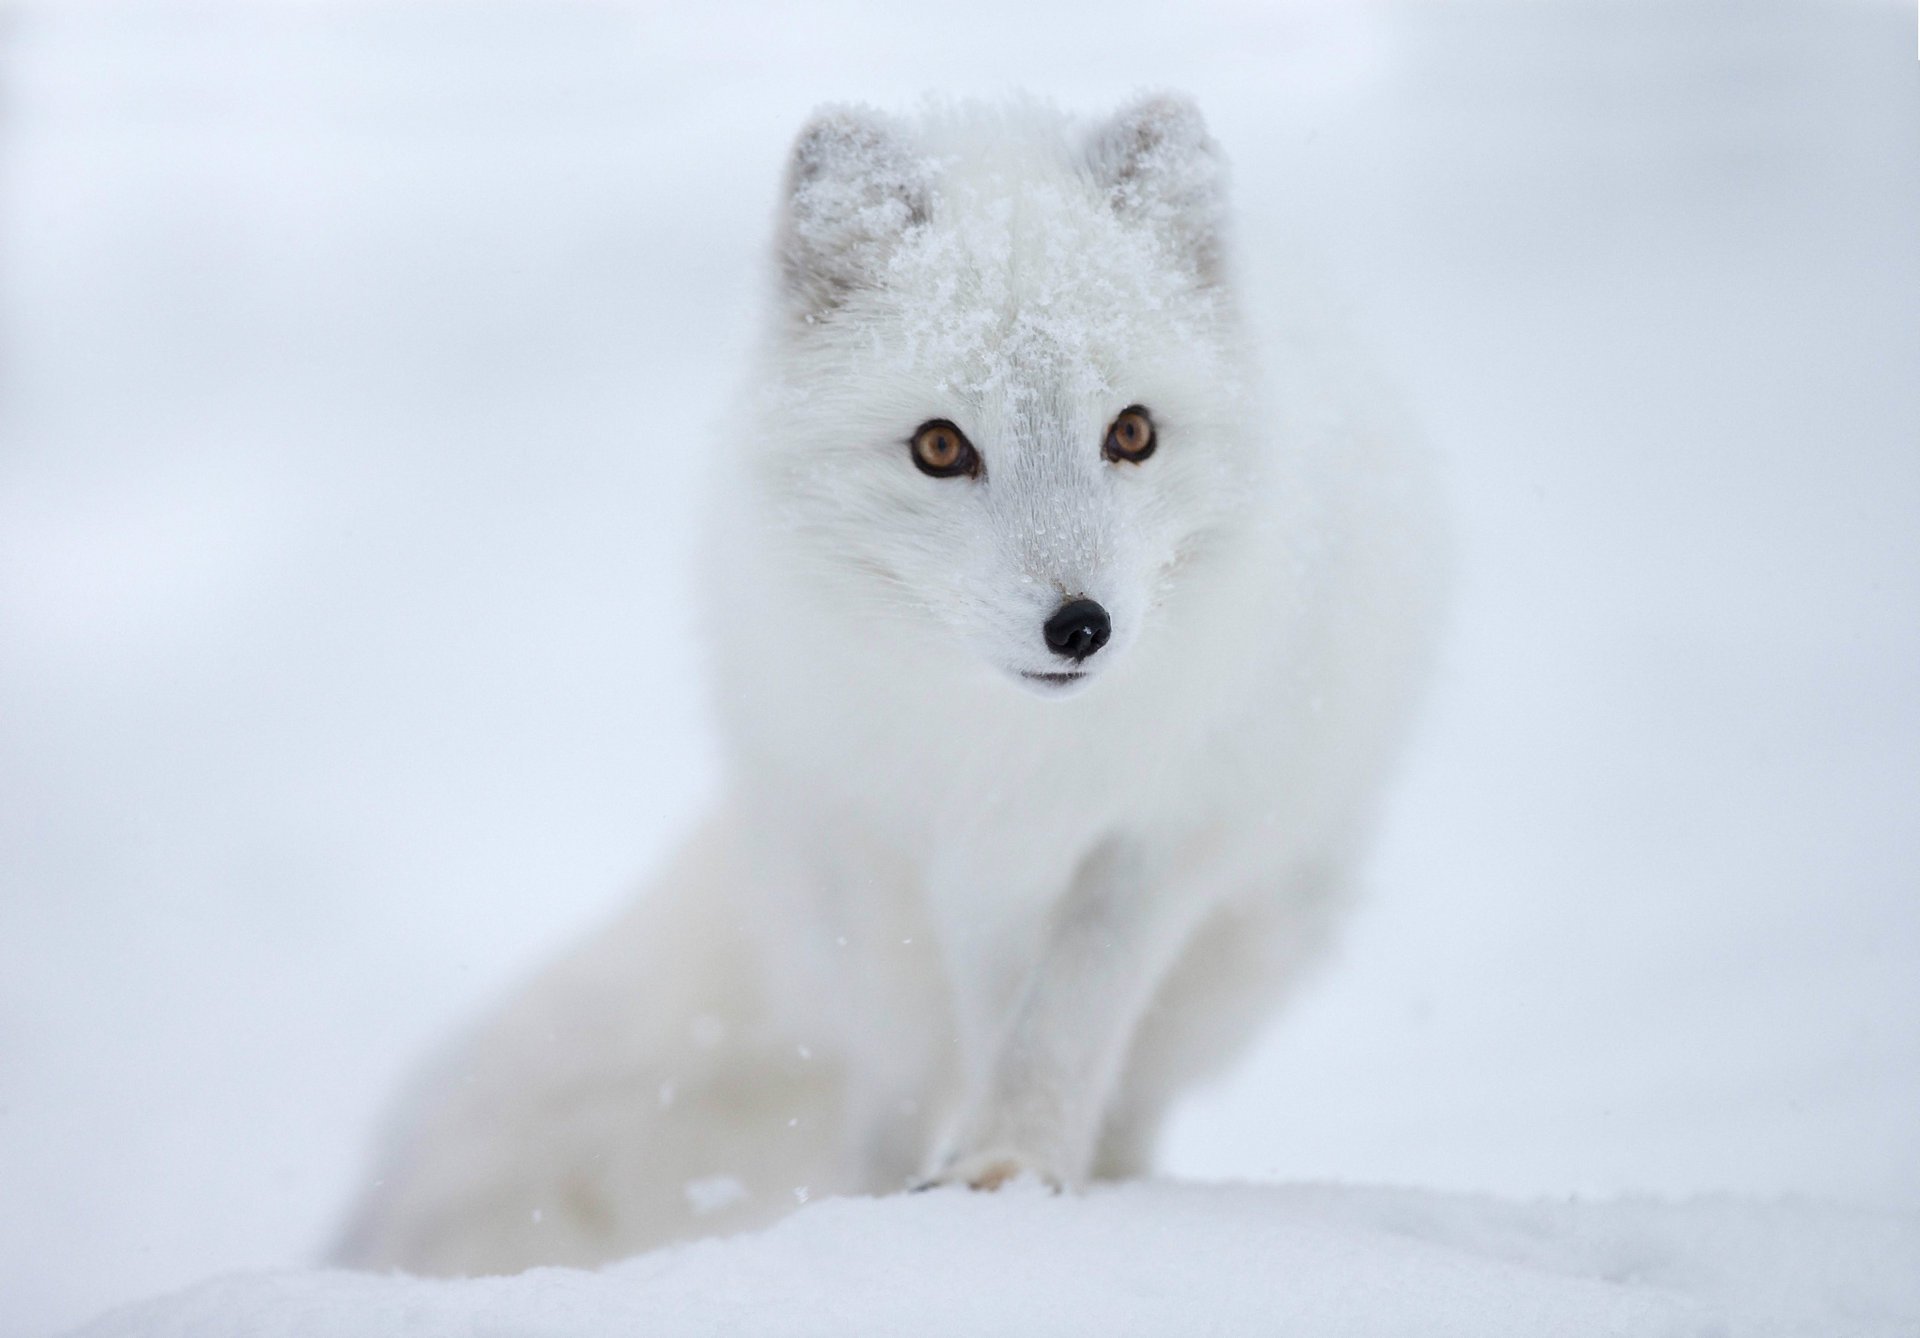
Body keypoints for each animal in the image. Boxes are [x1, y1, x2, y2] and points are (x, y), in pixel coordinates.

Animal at [335, 93, 1440, 1276]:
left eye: (1132, 432)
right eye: (941, 447)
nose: (1081, 627)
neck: (1013, 753)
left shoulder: (1160, 839)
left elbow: (1064, 1018)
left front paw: (1013, 1165)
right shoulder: (917, 854)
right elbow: (961, 1041)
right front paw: (933, 1196)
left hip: (1254, 936)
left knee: (1132, 1088)